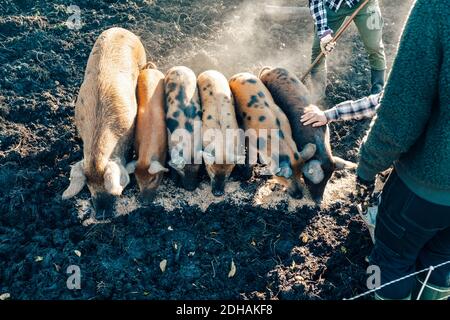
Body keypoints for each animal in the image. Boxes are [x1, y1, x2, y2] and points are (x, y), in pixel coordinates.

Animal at [229, 72, 316, 200]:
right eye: (286, 177)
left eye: (300, 172)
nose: (299, 195)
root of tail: (238, 74)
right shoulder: (251, 140)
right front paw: (246, 177)